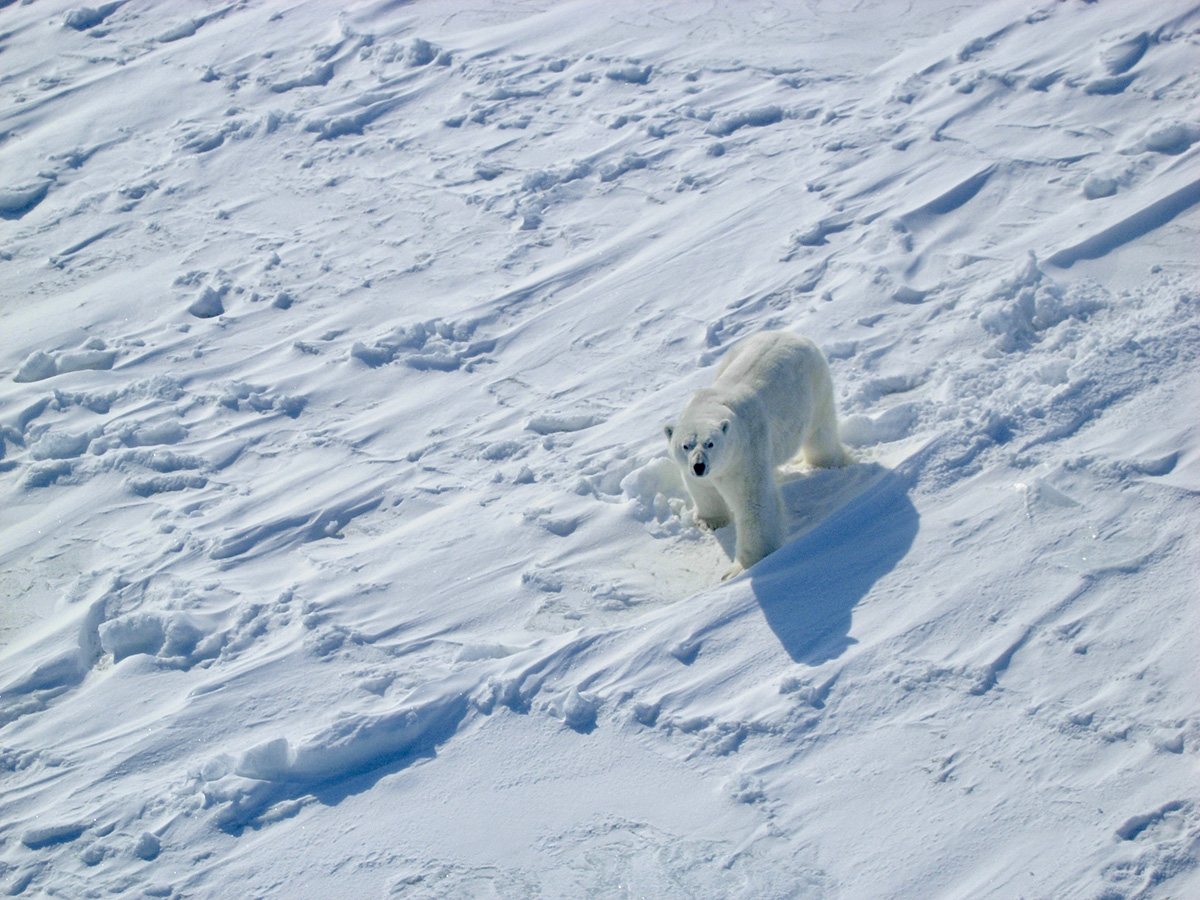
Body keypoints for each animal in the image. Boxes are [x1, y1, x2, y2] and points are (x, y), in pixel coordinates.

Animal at [662, 336, 849, 580]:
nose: (699, 466)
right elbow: (703, 489)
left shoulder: (745, 452)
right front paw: (710, 521)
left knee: (820, 432)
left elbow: (753, 502)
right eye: (686, 445)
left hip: (816, 385)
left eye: (710, 443)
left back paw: (826, 461)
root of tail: (794, 335)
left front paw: (741, 568)